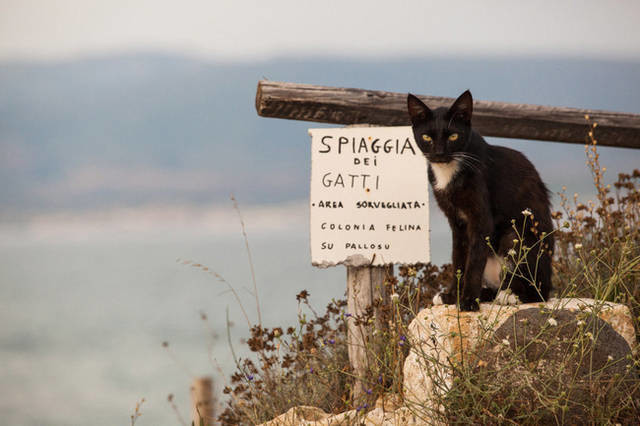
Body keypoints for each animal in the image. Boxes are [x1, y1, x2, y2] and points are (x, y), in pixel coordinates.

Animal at [408, 90, 552, 310]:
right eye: (426, 137)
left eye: (453, 136)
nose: (439, 153)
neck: (449, 171)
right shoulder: (457, 222)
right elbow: (459, 258)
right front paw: (453, 296)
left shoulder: (481, 218)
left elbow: (474, 261)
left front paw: (467, 301)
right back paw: (487, 294)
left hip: (516, 237)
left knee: (538, 293)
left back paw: (509, 295)